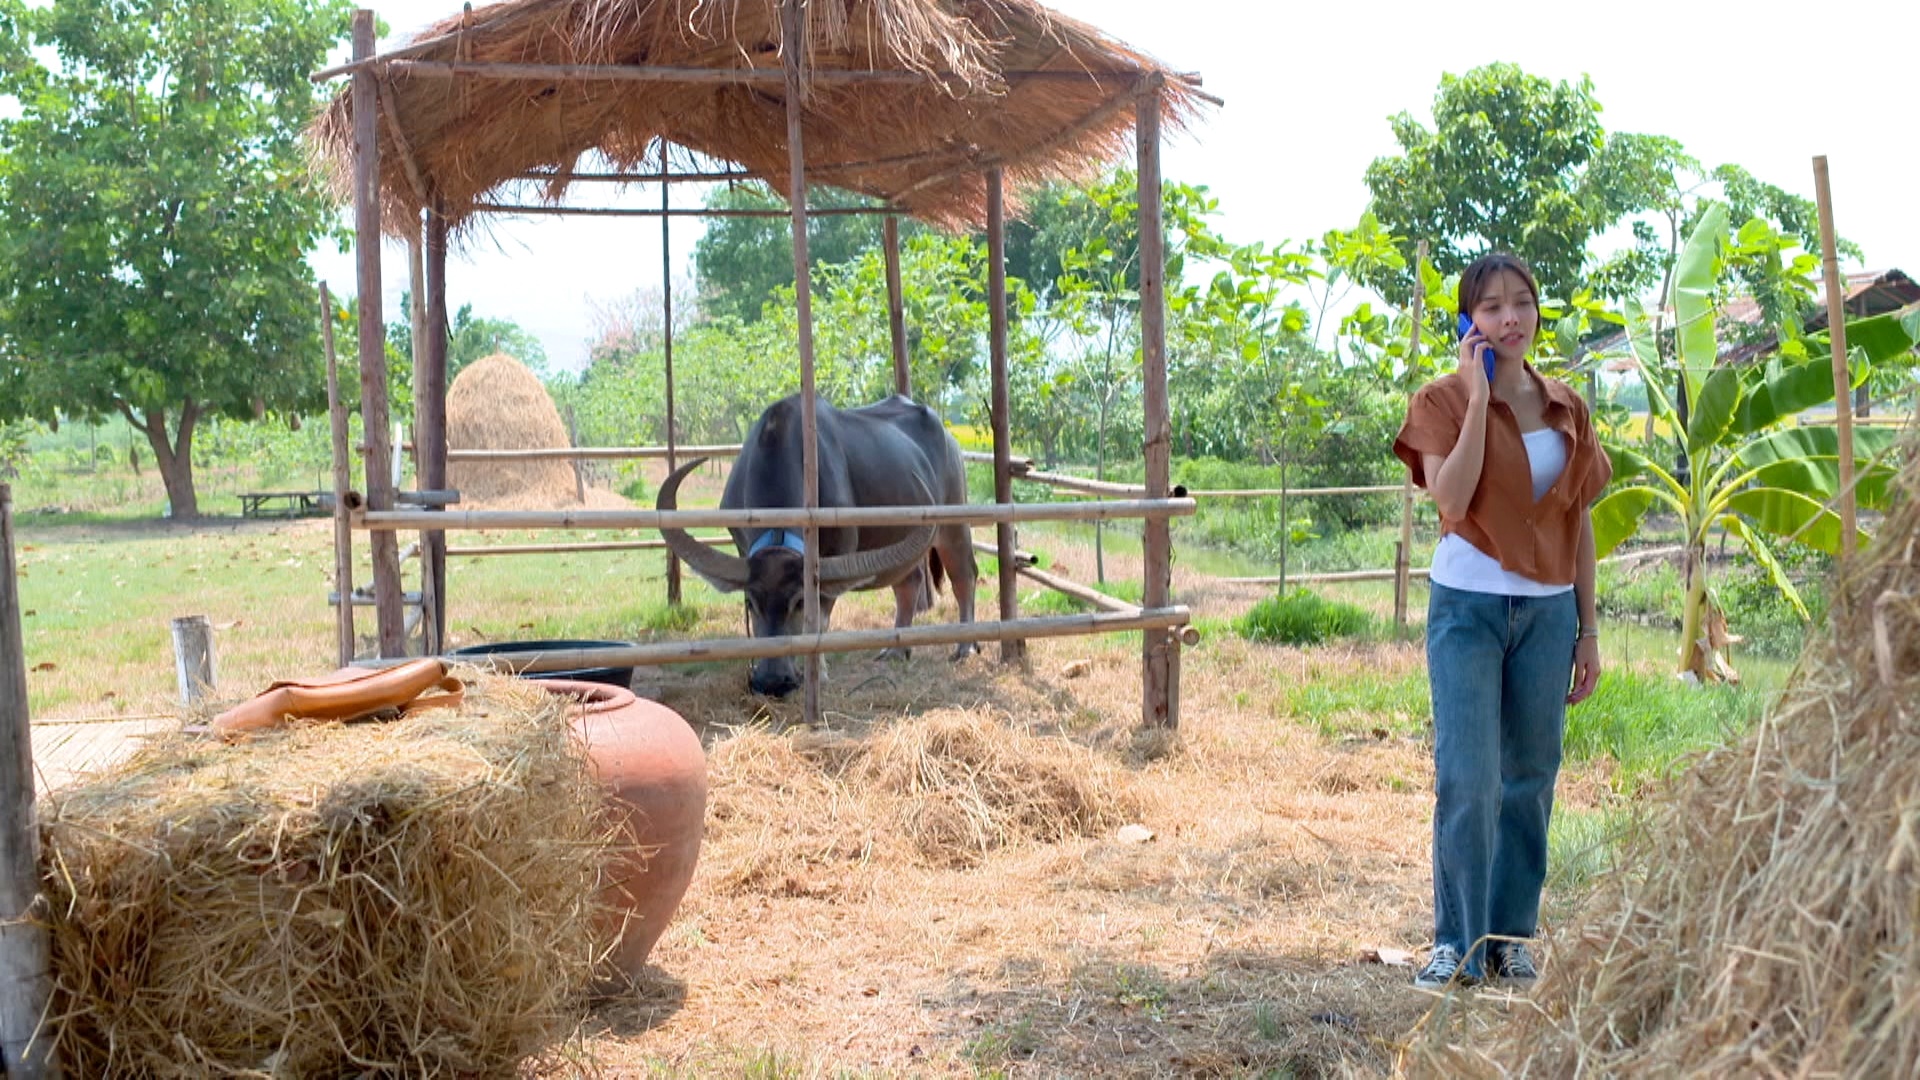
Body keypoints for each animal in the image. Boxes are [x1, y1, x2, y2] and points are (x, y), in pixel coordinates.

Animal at [656, 393, 979, 697]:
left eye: (799, 602)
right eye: (750, 603)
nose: (773, 681)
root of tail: (949, 438)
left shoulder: (837, 554)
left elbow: (819, 621)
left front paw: (819, 672)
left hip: (953, 525)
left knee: (964, 576)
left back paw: (965, 647)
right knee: (909, 582)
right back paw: (896, 649)